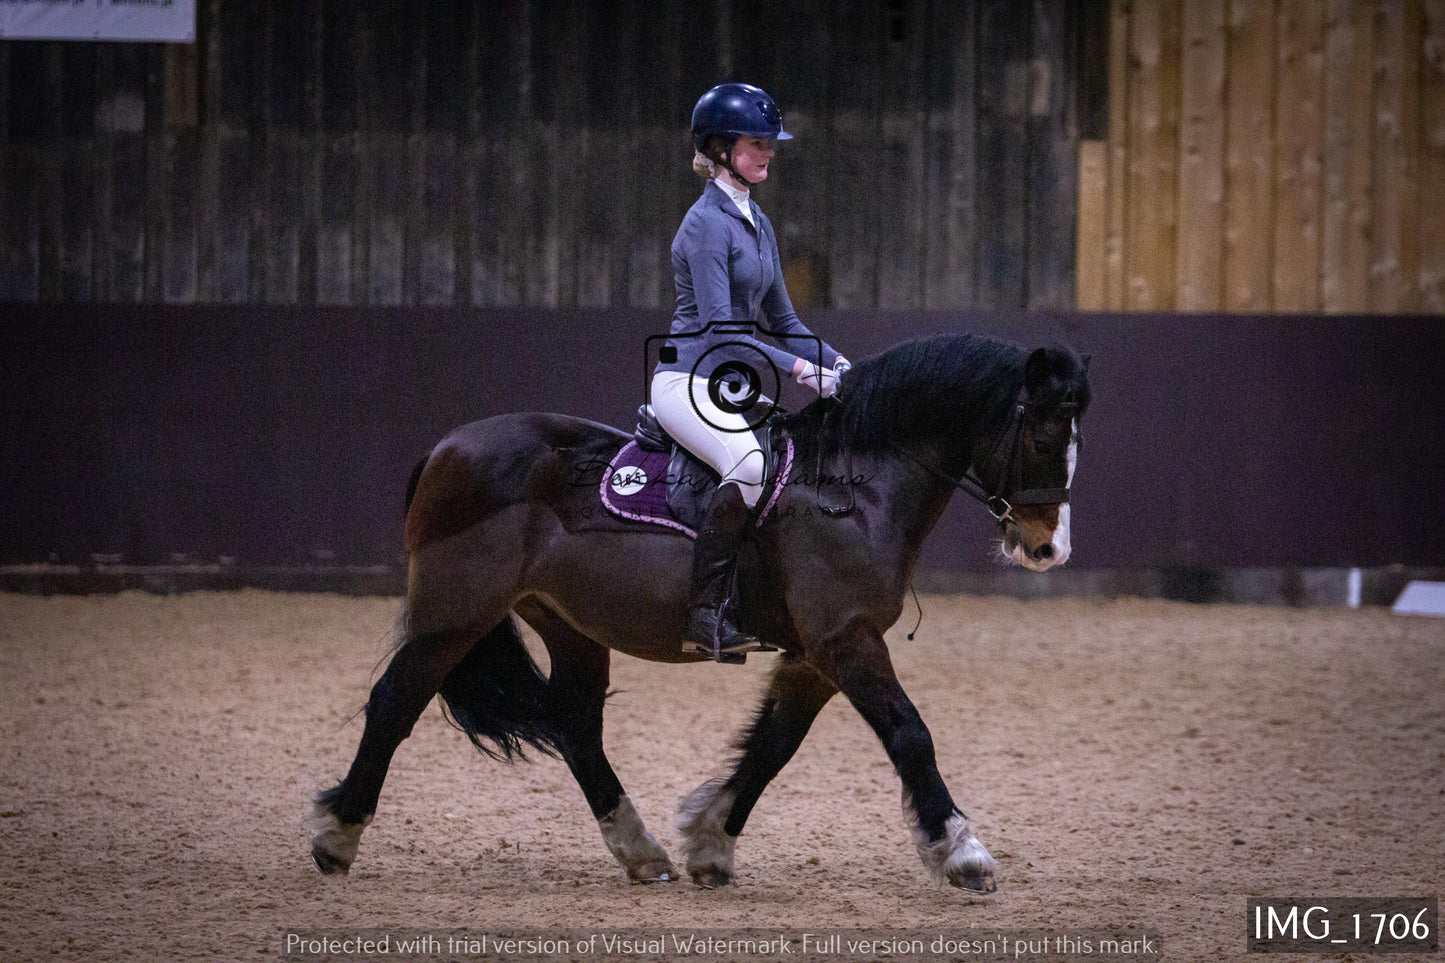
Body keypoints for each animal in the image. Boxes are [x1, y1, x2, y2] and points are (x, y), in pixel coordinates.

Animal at [310, 332, 1086, 890]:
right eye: (1045, 433)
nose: (1048, 548)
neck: (854, 489)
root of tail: (446, 446)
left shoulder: (814, 657)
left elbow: (773, 746)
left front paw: (710, 844)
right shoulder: (846, 641)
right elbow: (909, 733)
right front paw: (962, 852)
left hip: (568, 623)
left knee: (576, 727)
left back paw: (641, 851)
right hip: (454, 615)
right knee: (394, 701)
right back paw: (336, 837)